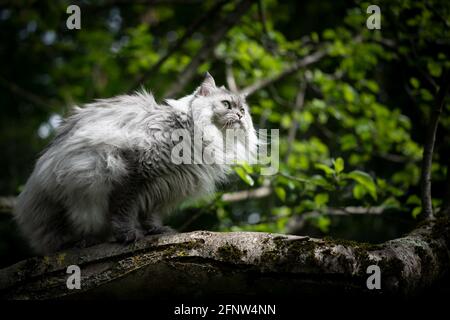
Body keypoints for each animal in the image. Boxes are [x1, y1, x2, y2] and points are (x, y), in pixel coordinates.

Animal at [14, 73, 258, 255]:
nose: (239, 116)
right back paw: (83, 241)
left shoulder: (163, 188)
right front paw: (127, 234)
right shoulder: (134, 173)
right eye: (226, 104)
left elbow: (150, 214)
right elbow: (125, 210)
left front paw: (157, 230)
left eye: (242, 111)